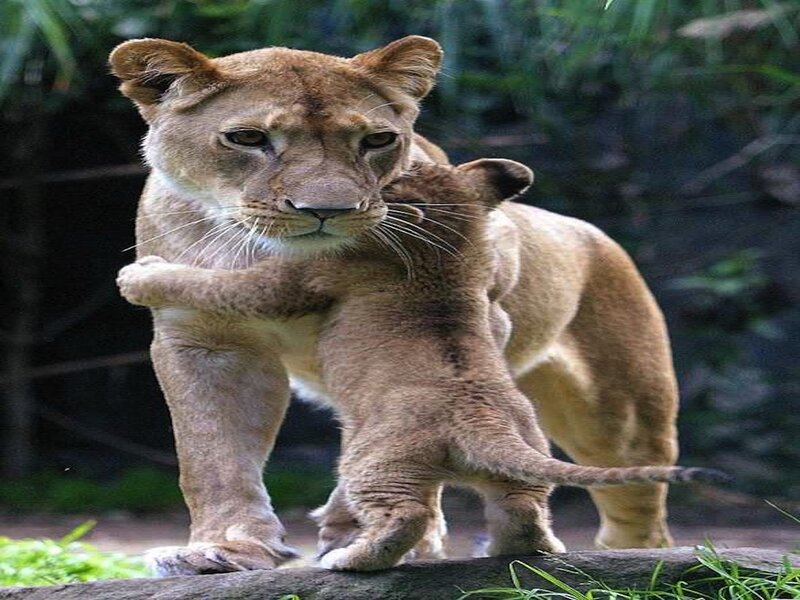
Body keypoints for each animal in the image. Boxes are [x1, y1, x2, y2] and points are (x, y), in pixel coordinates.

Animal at [110, 36, 688, 575]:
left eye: (377, 140)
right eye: (248, 138)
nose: (328, 210)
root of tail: (594, 234)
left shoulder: (481, 315)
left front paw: (356, 533)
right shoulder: (205, 342)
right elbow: (213, 455)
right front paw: (224, 549)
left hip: (621, 420)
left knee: (635, 513)